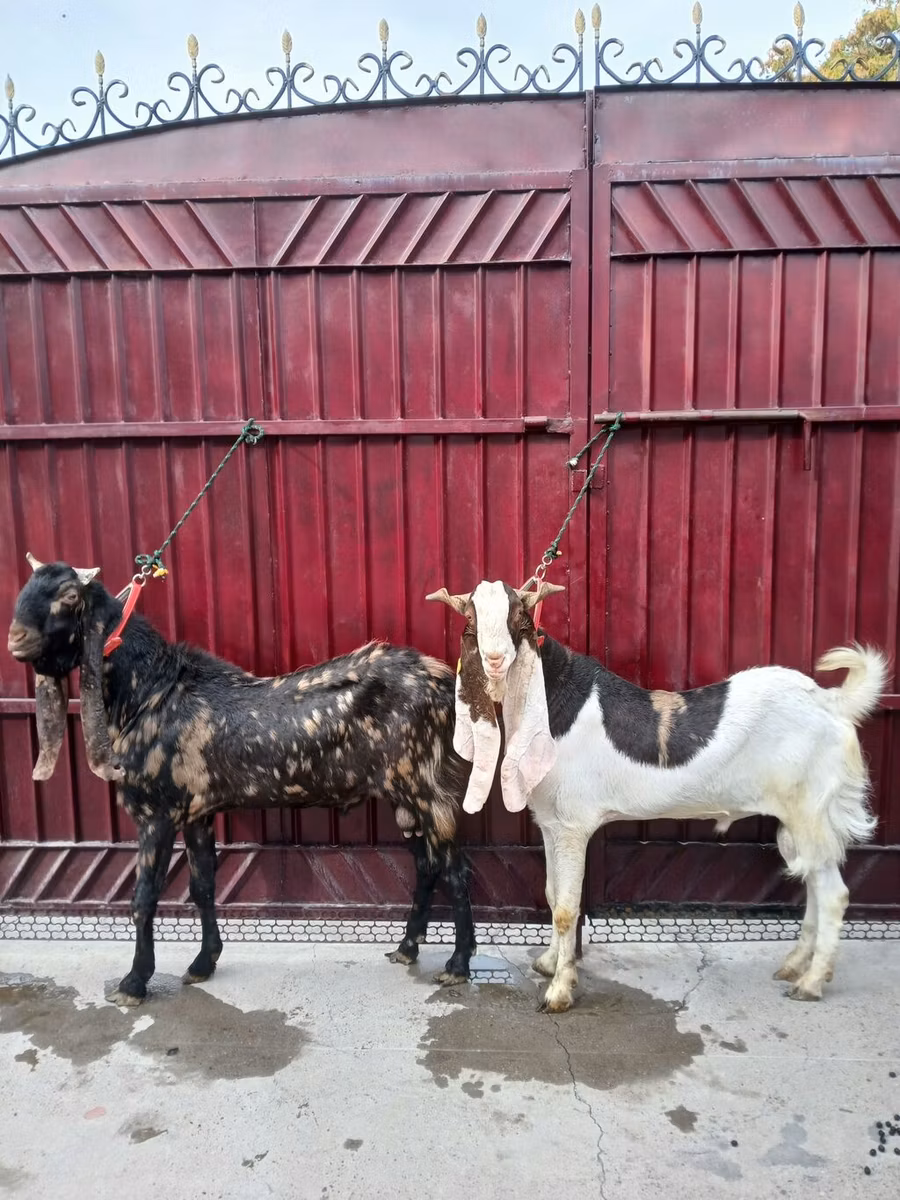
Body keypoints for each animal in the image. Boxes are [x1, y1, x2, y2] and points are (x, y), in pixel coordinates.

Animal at [8, 556, 476, 1006]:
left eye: (69, 596)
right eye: (25, 587)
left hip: (428, 787)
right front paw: (202, 962)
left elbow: (144, 897)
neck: (150, 693)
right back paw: (407, 947)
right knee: (427, 865)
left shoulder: (157, 812)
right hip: (404, 794)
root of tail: (443, 683)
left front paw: (134, 983)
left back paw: (457, 964)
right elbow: (201, 886)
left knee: (456, 870)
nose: (15, 638)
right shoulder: (195, 811)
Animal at [429, 579, 888, 1013]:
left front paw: (559, 991)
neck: (550, 703)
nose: (494, 661)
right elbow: (551, 893)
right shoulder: (551, 823)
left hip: (811, 809)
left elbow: (566, 909)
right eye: (470, 625)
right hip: (796, 817)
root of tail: (833, 703)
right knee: (813, 884)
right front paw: (547, 963)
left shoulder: (574, 826)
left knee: (833, 894)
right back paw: (795, 965)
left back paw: (810, 982)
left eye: (519, 621)